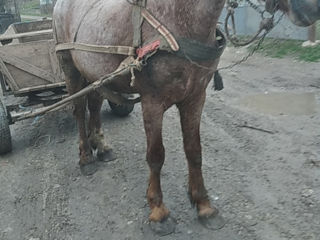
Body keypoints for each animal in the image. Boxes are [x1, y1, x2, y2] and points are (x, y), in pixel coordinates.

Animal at [53, 0, 320, 233]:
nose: (311, 8)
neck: (178, 20)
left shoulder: (195, 98)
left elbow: (194, 151)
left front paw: (204, 206)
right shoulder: (152, 102)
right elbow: (156, 156)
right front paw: (159, 212)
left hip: (96, 74)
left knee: (95, 104)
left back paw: (102, 146)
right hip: (70, 66)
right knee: (79, 110)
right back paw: (86, 158)